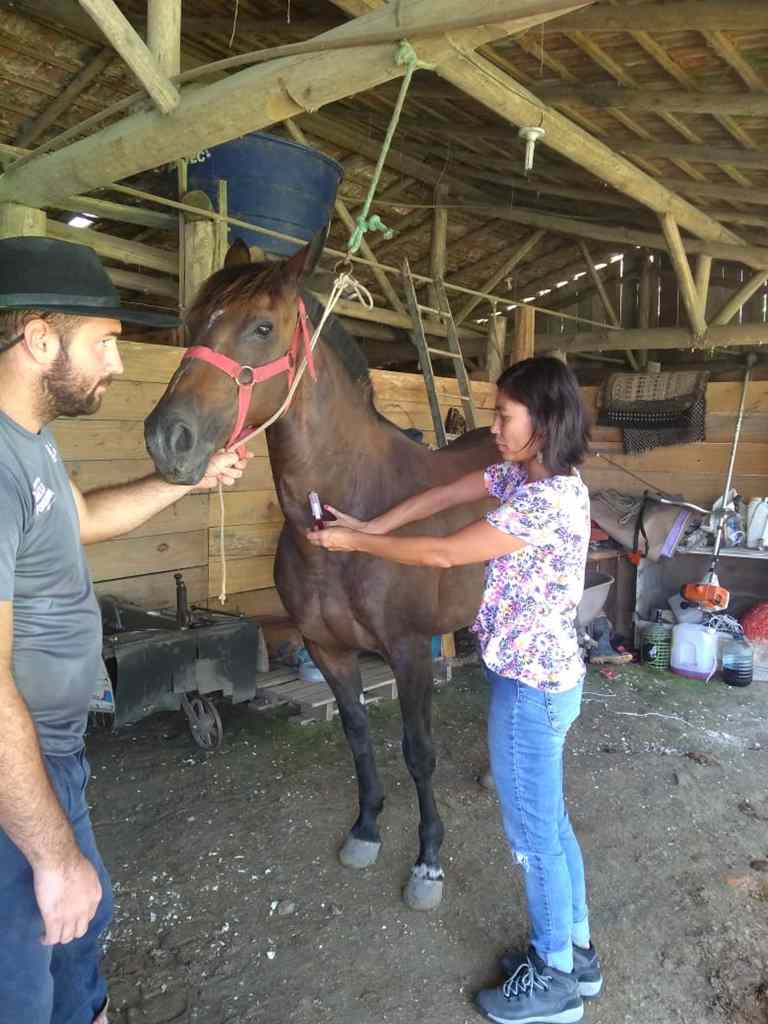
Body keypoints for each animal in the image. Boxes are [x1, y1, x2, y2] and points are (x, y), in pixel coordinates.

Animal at [145, 235, 499, 909]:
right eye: (192, 322)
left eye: (262, 327)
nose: (166, 438)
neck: (352, 510)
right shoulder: (328, 649)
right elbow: (358, 736)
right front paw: (366, 830)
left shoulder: (409, 651)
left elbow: (419, 753)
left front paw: (428, 861)